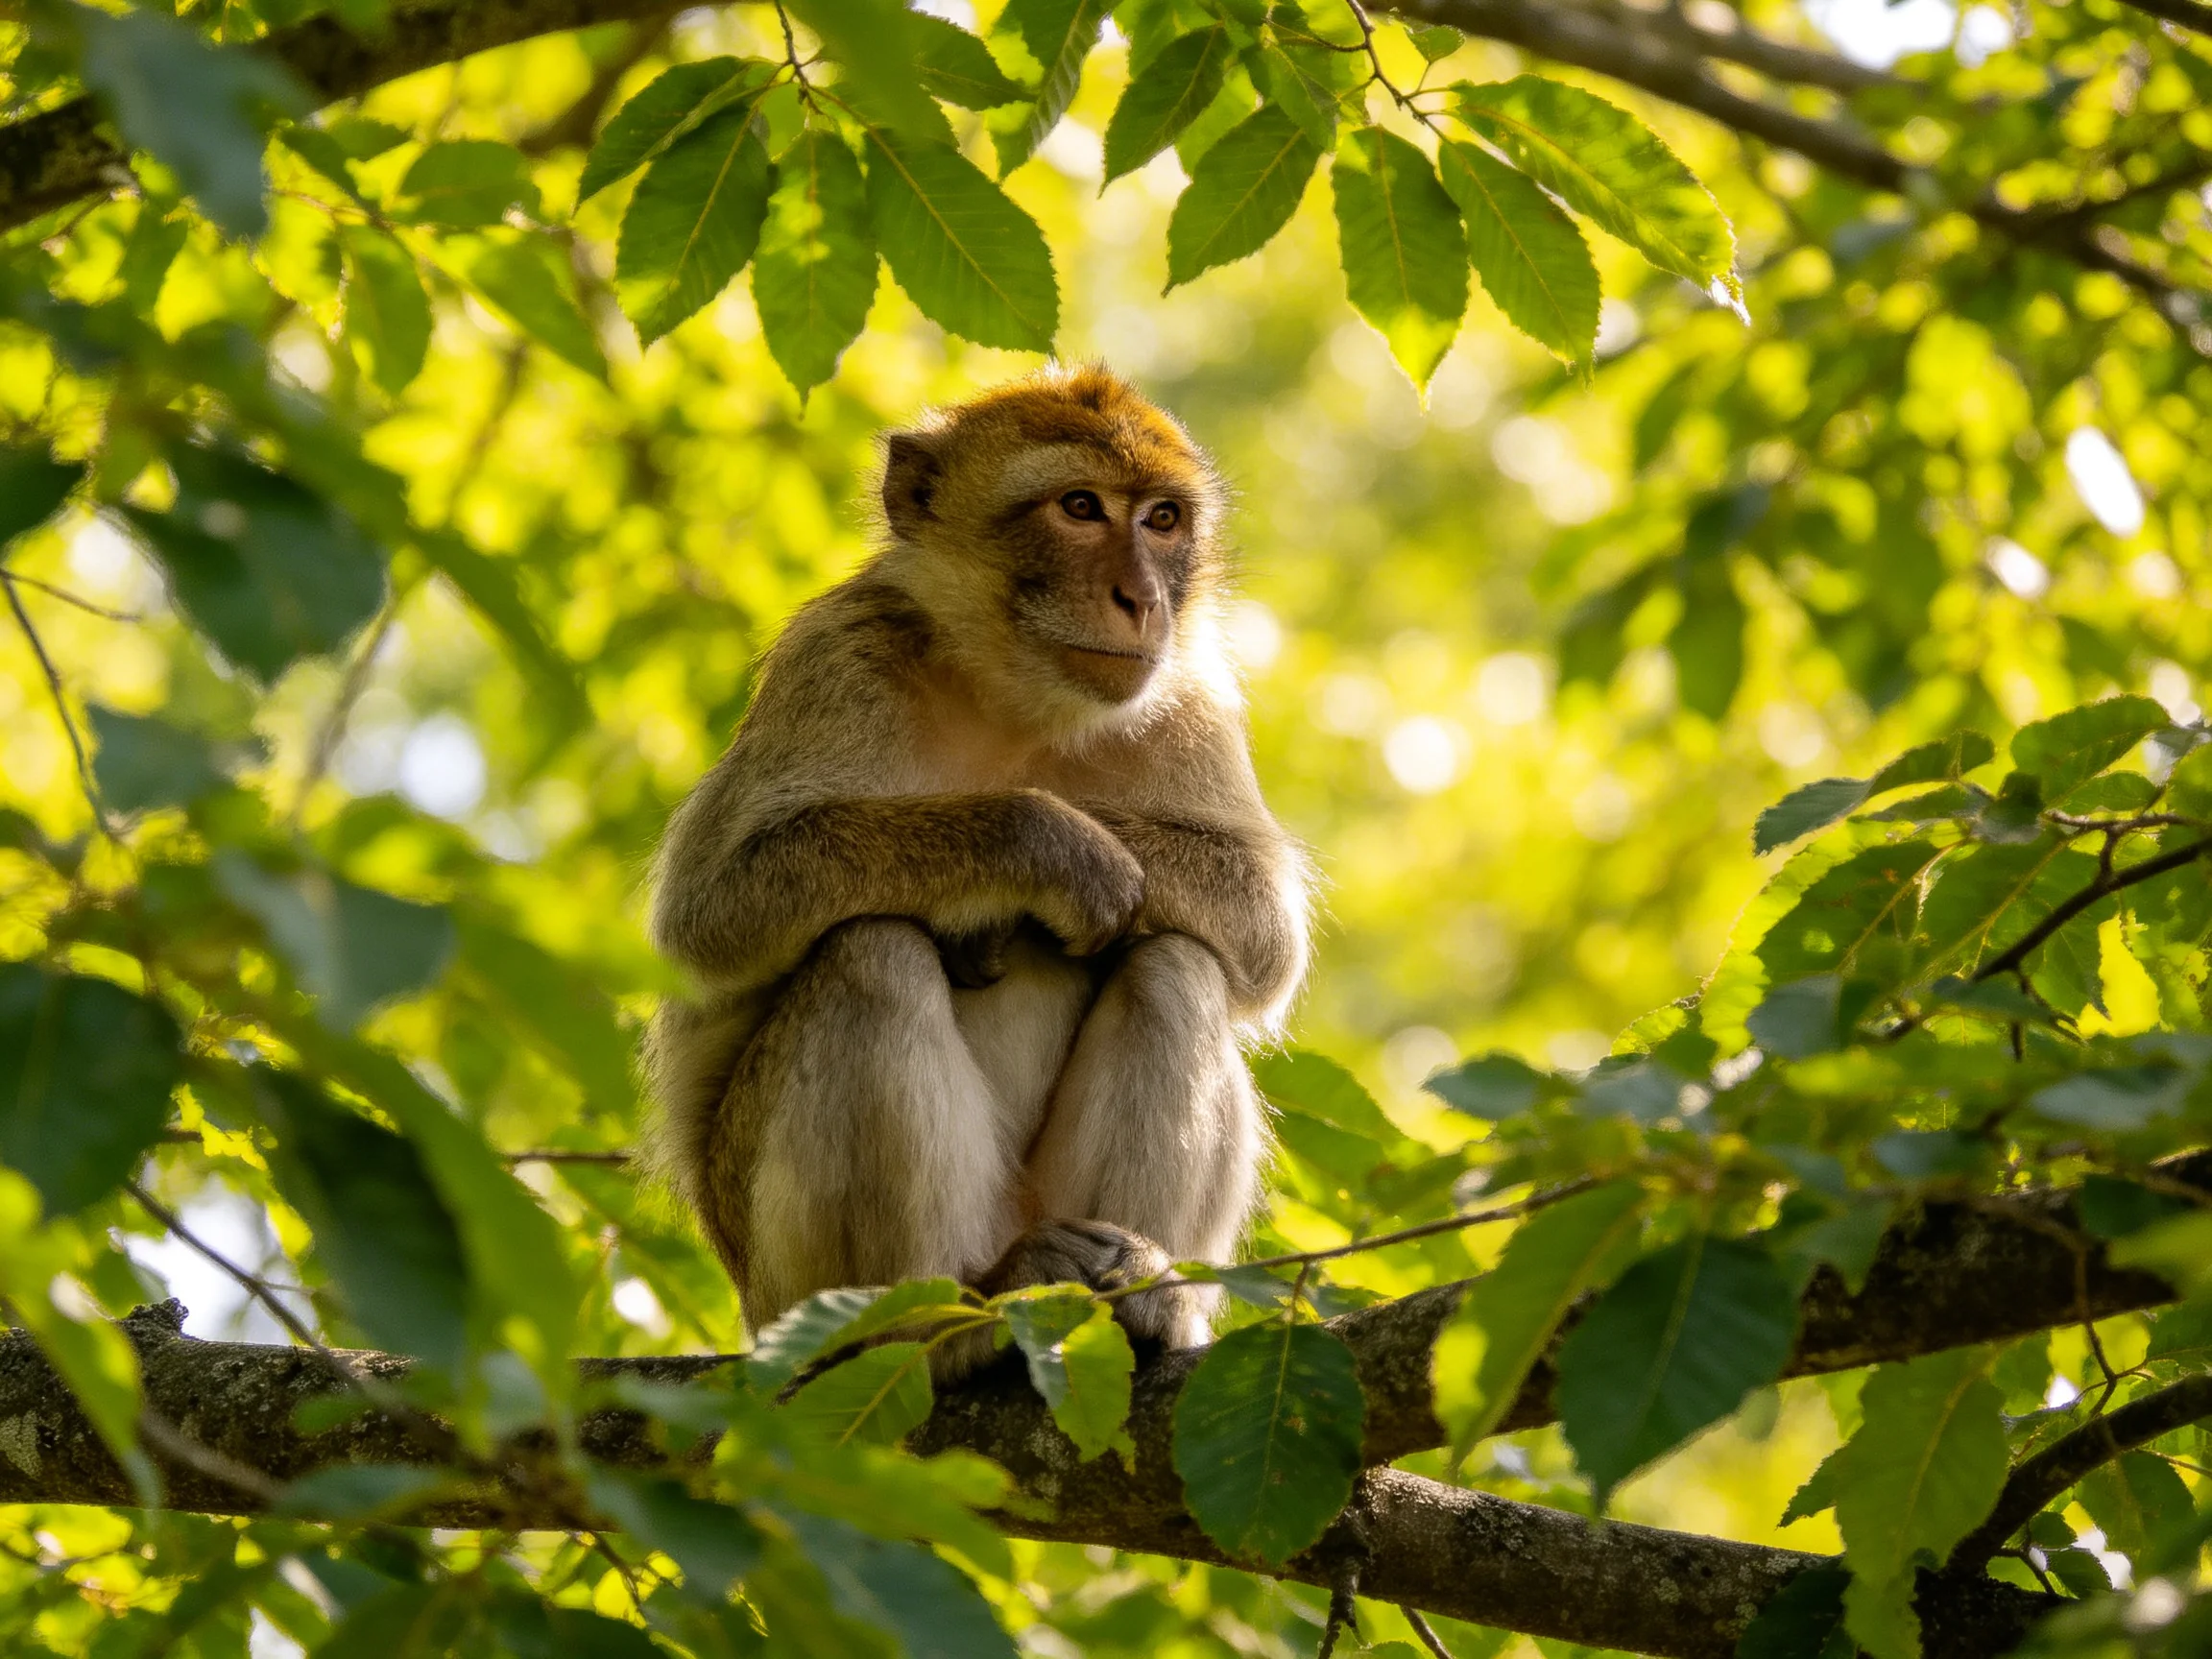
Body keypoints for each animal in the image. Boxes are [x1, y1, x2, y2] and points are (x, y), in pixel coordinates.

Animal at [642, 365, 1312, 1374]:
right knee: (870, 958)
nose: (1141, 598)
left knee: (1177, 964)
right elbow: (715, 907)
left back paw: (1131, 1298)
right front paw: (1047, 848)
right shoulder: (838, 657)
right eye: (1079, 507)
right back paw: (940, 1329)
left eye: (1161, 519)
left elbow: (1263, 926)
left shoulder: (1188, 696)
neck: (1010, 695)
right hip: (785, 1281)